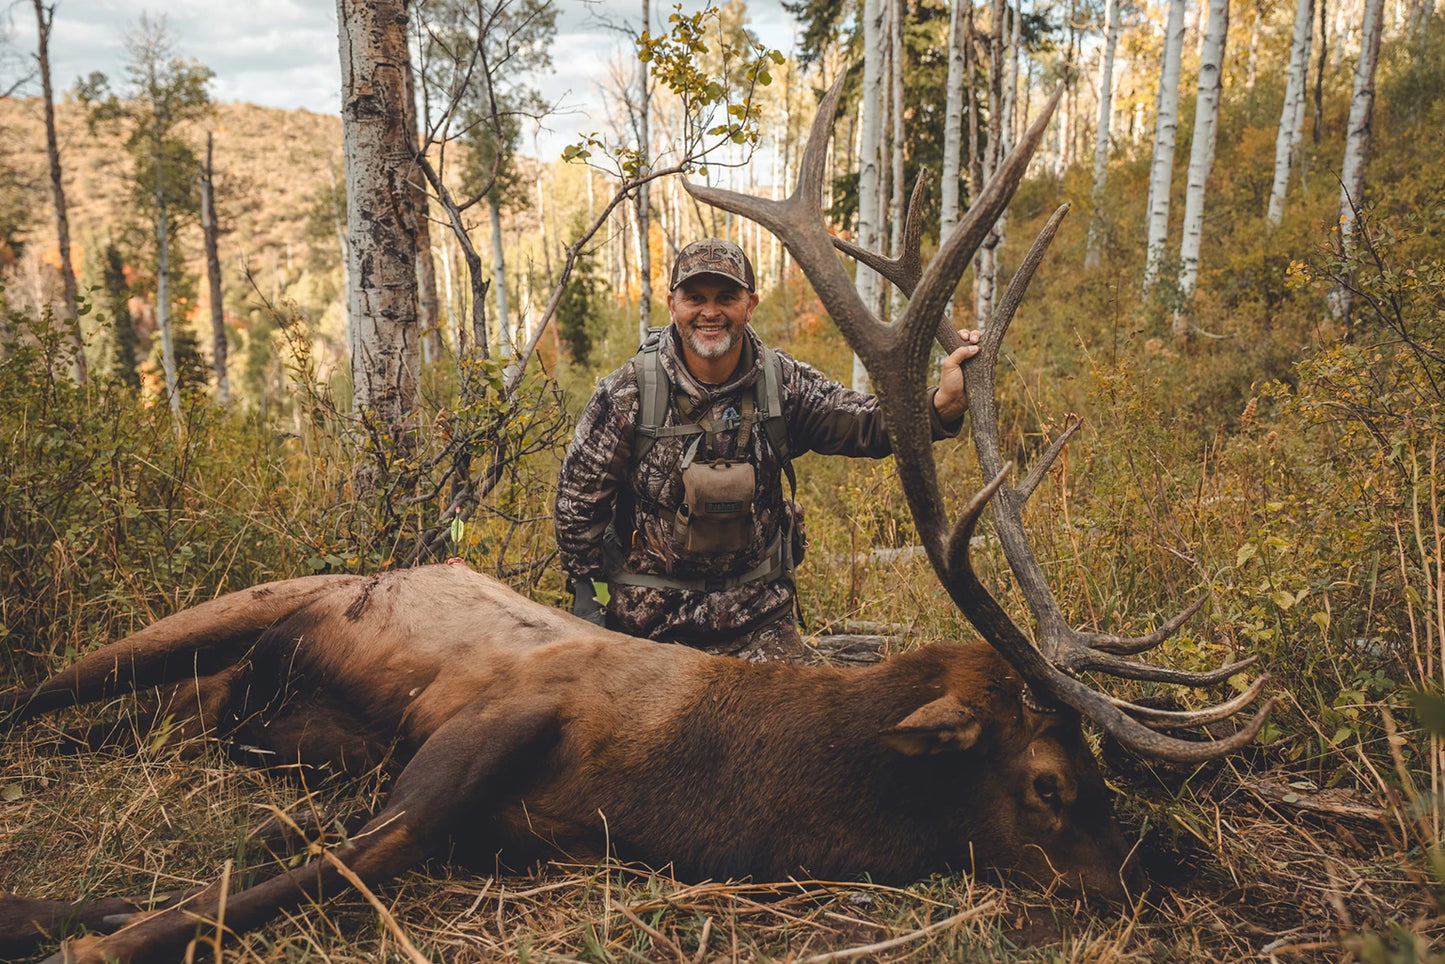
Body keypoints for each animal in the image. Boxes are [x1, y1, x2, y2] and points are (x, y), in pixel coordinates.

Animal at [0, 75, 1270, 964]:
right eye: (1051, 782)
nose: (1146, 886)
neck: (665, 781)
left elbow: (286, 853)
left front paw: (73, 907)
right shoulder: (481, 727)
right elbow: (306, 872)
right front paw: (94, 928)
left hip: (210, 698)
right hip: (232, 609)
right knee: (39, 691)